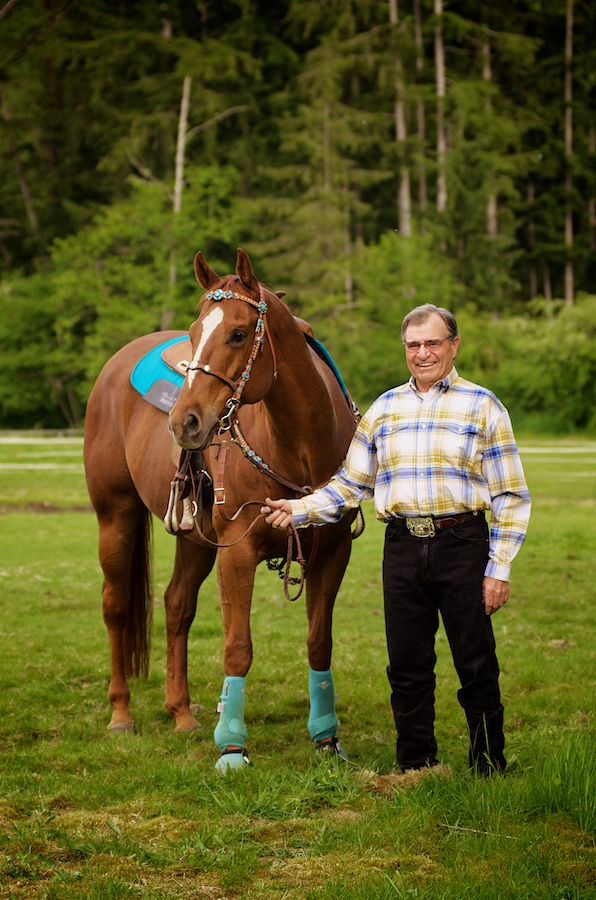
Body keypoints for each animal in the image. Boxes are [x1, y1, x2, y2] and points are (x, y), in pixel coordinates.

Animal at [84, 250, 360, 768]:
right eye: (194, 333)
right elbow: (237, 648)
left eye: (237, 333)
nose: (184, 422)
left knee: (177, 605)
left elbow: (320, 642)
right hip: (116, 515)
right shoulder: (237, 554)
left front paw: (326, 737)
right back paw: (121, 714)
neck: (298, 447)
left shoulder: (332, 553)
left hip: (196, 539)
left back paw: (181, 713)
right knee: (116, 606)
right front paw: (232, 747)